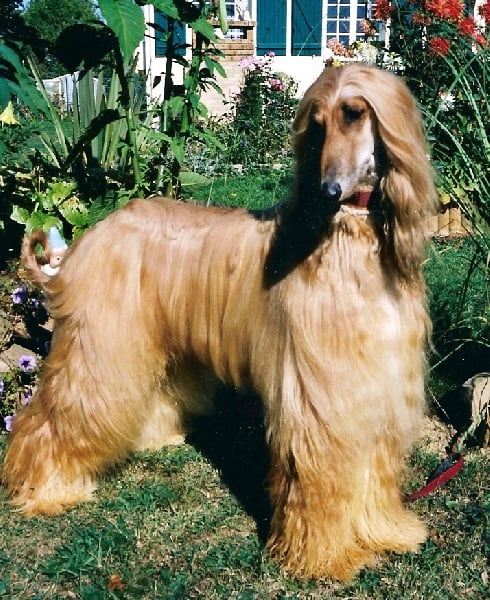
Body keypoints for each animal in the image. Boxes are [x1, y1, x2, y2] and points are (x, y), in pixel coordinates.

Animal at [2, 64, 438, 581]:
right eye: (315, 128)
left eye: (354, 113)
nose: (327, 192)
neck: (351, 241)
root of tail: (83, 243)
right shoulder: (322, 394)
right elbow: (320, 475)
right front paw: (322, 557)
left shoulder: (379, 382)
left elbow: (376, 467)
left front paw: (385, 531)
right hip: (102, 346)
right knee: (52, 416)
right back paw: (46, 488)